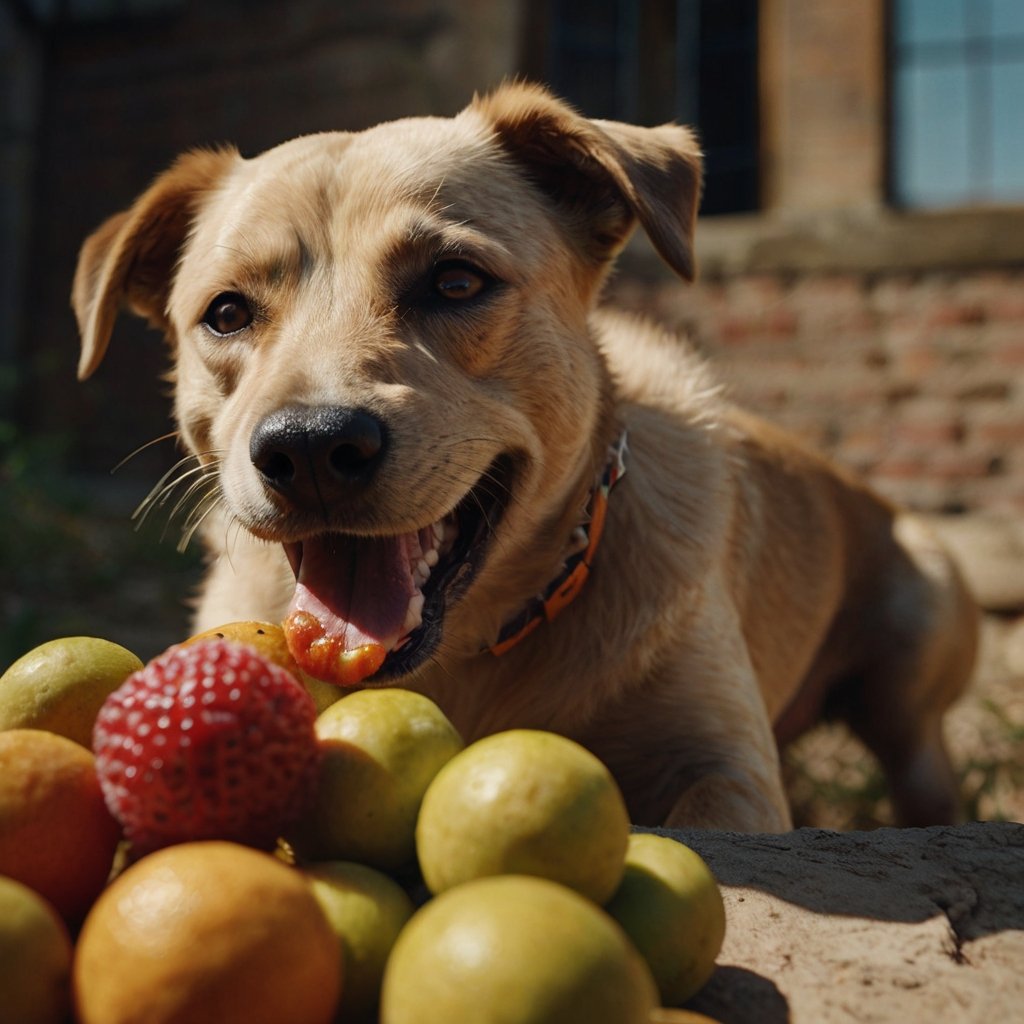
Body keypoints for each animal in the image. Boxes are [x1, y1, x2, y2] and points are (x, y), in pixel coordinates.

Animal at [70, 81, 974, 831]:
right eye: (226, 313)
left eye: (455, 281)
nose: (311, 448)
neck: (465, 658)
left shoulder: (724, 768)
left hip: (916, 666)